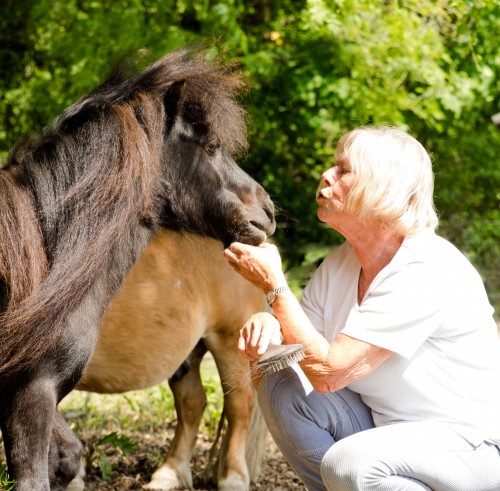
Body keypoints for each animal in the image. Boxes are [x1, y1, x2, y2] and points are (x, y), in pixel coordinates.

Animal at [73, 229, 270, 490]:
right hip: (188, 356)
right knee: (192, 404)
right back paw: (170, 473)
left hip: (229, 342)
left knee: (239, 406)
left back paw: (233, 478)